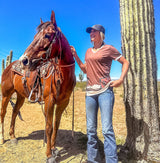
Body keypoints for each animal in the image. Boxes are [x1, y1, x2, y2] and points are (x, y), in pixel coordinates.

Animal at [0, 10, 76, 162]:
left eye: (47, 35)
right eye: (35, 36)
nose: (24, 60)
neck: (62, 75)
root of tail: (9, 67)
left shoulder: (63, 102)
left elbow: (56, 125)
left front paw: (54, 149)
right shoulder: (49, 101)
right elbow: (49, 127)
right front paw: (49, 155)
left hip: (21, 96)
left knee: (14, 112)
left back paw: (13, 137)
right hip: (6, 94)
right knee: (3, 113)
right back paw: (2, 137)